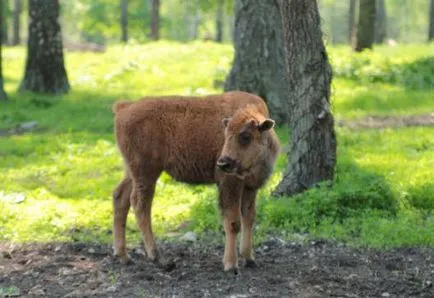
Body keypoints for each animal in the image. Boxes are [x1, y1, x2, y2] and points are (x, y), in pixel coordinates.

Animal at [112, 91, 280, 272]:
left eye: (245, 136)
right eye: (226, 135)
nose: (223, 163)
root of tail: (125, 107)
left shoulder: (250, 187)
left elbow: (248, 218)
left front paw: (249, 259)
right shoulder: (229, 185)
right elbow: (233, 222)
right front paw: (230, 264)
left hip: (132, 172)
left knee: (120, 197)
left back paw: (123, 256)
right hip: (146, 172)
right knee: (140, 204)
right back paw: (159, 258)